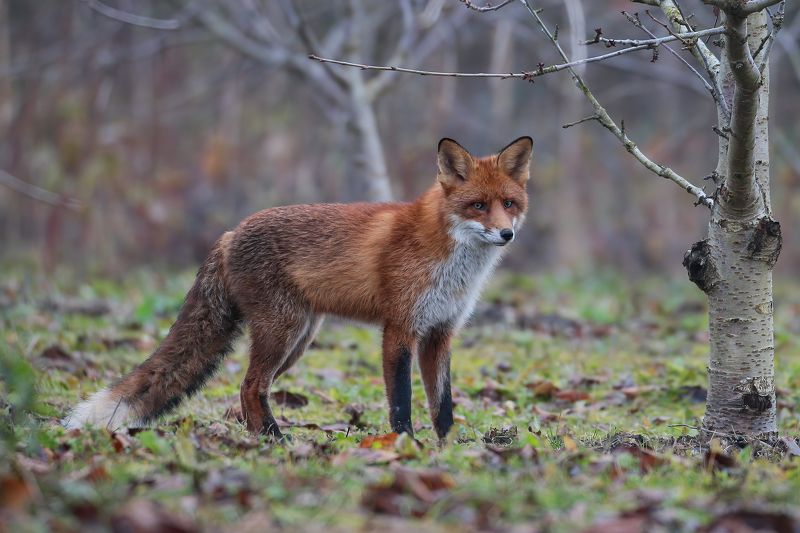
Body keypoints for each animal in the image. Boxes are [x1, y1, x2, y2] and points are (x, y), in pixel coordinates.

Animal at [64, 136, 532, 441]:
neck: (452, 262)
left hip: (299, 340)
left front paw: (446, 447)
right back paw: (277, 441)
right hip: (282, 332)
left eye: (509, 204)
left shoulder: (440, 333)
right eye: (477, 206)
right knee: (250, 385)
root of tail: (230, 233)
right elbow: (401, 401)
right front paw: (405, 446)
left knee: (250, 389)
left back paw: (263, 439)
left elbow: (443, 403)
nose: (507, 235)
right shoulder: (399, 329)